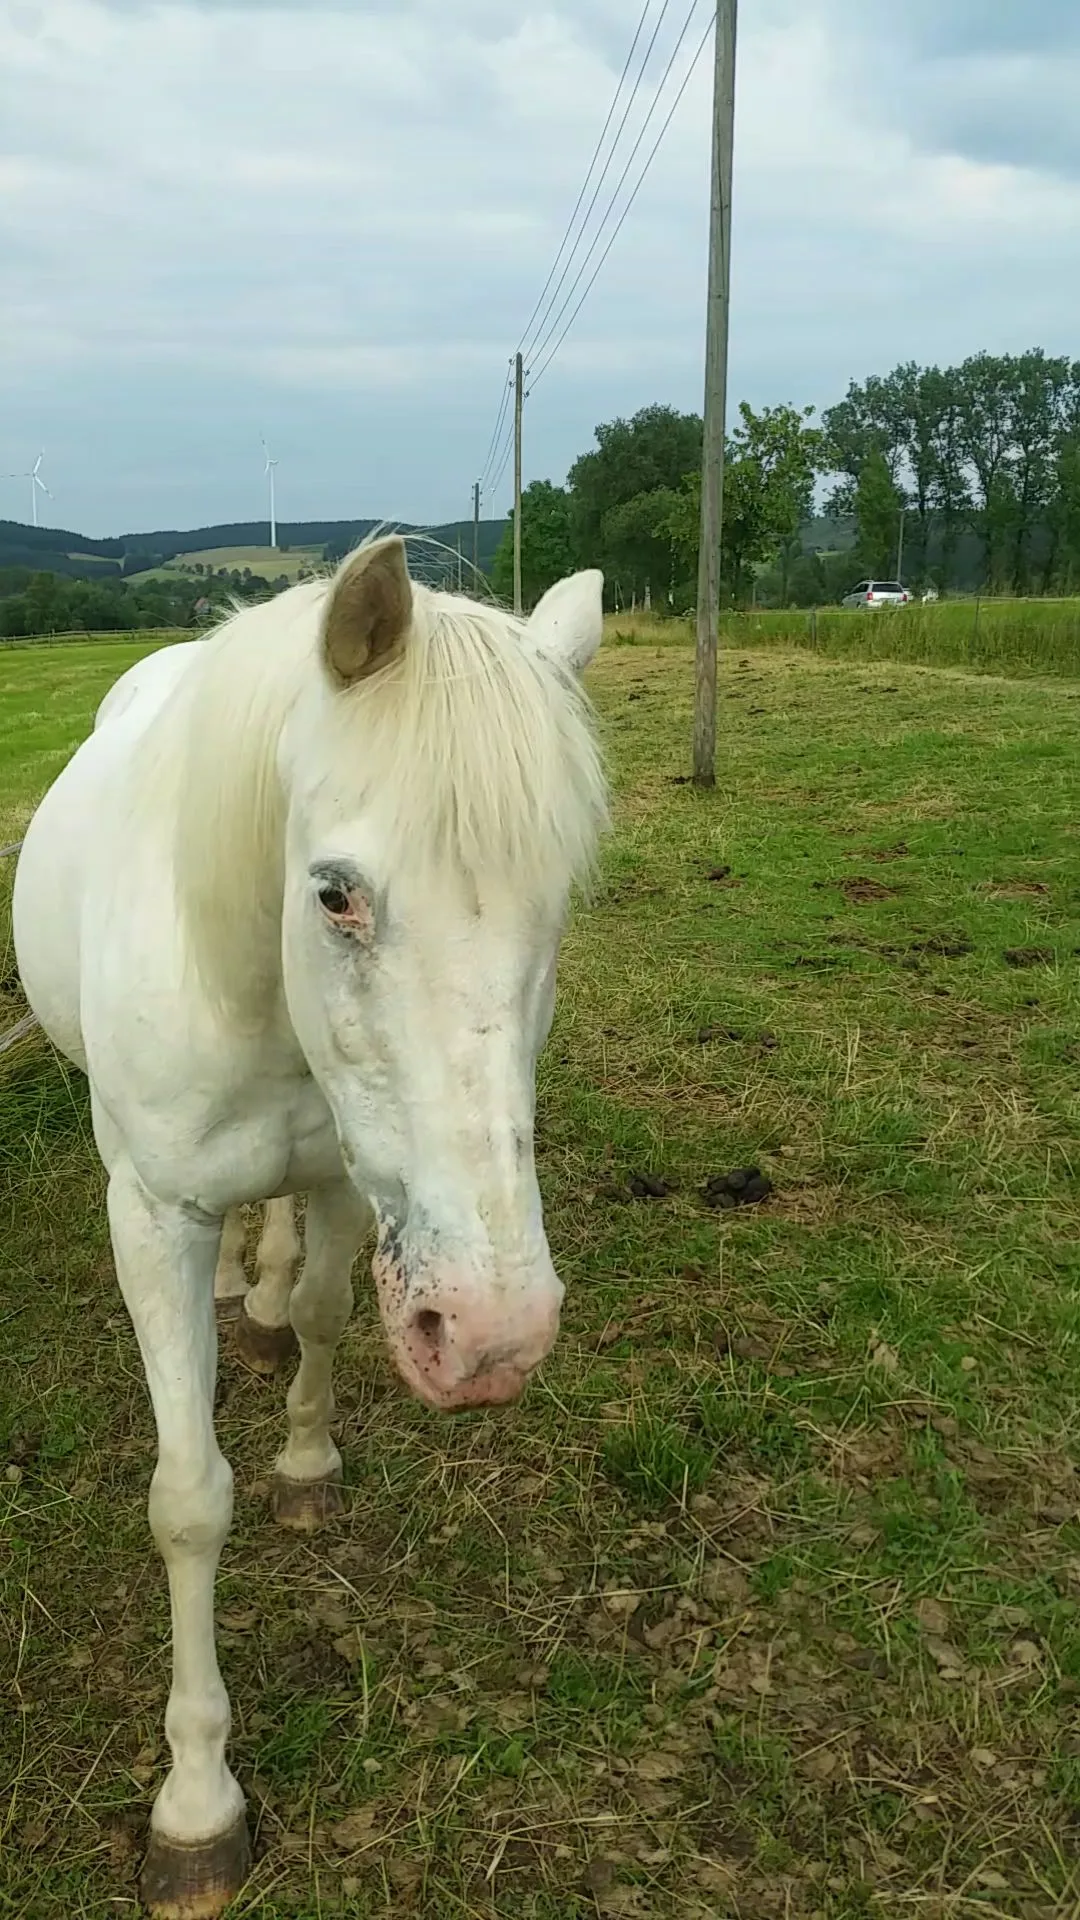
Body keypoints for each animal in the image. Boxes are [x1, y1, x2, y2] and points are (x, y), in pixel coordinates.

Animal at [12, 537, 607, 1917]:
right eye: (336, 895)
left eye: (560, 905)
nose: (495, 1335)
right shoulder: (152, 1218)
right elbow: (187, 1501)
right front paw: (195, 1803)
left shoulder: (351, 1178)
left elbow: (337, 1315)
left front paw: (306, 1461)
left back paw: (269, 1295)